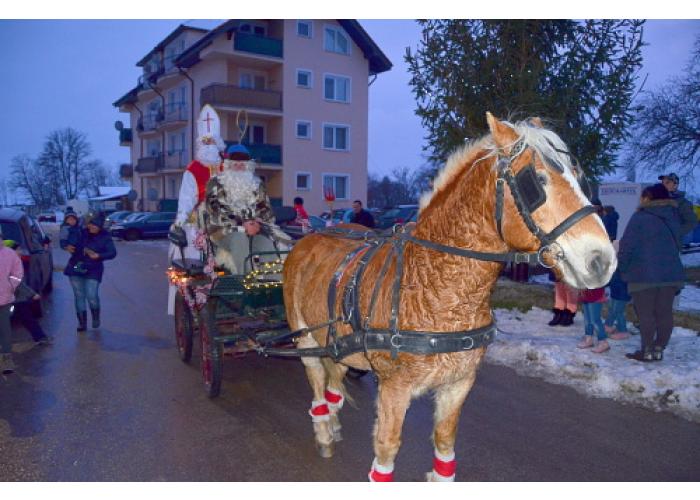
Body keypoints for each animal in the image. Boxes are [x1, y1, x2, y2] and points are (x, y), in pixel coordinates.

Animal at [282, 113, 616, 481]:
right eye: (536, 181)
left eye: (579, 178)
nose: (601, 260)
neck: (441, 290)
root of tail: (311, 235)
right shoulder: (395, 388)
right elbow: (386, 449)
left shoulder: (459, 382)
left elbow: (445, 442)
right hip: (304, 336)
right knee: (316, 377)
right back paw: (324, 429)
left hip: (339, 340)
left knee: (335, 374)